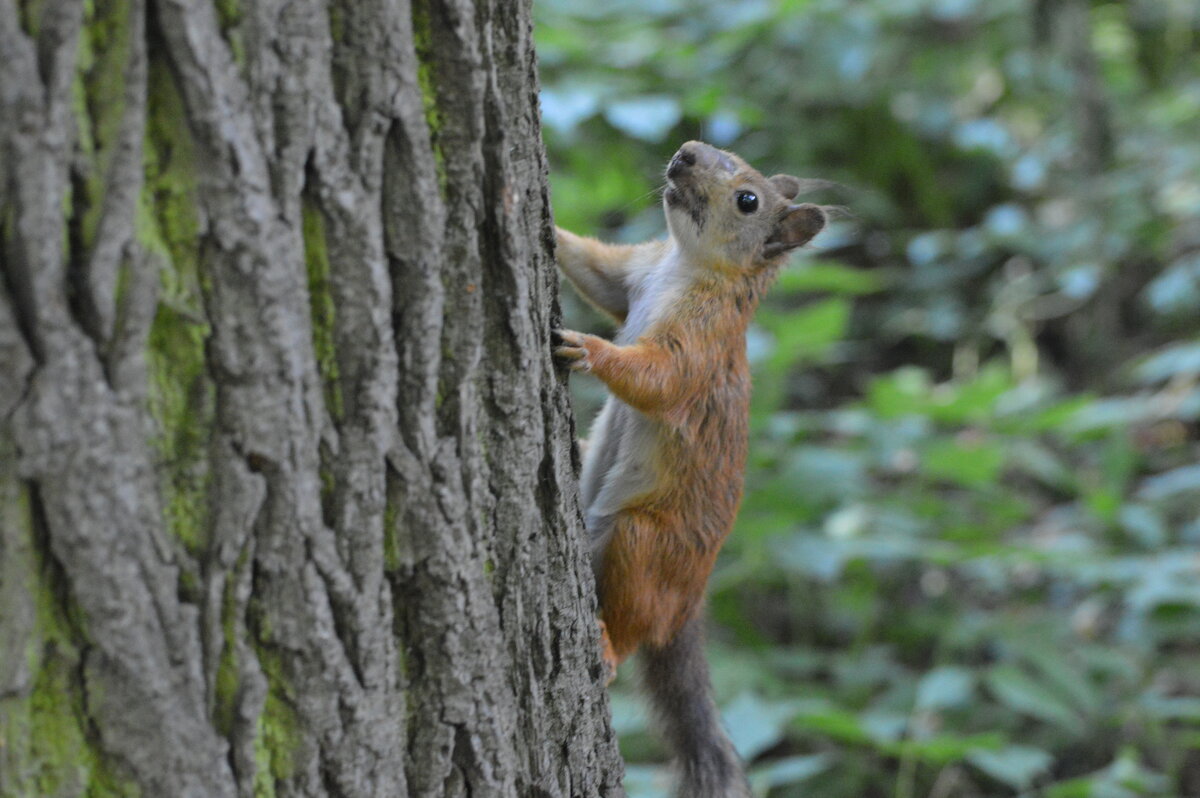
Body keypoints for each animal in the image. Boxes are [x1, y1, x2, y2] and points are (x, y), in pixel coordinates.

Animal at [549, 141, 825, 796]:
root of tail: (685, 608)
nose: (686, 152)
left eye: (748, 199)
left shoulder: (700, 343)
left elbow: (658, 379)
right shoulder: (635, 274)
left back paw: (607, 645)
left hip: (644, 545)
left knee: (630, 621)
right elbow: (597, 269)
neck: (682, 266)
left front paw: (590, 349)